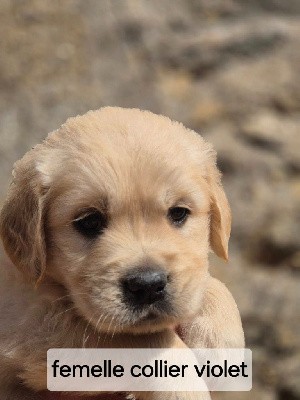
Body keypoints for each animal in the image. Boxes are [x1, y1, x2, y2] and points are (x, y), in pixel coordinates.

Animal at [0, 107, 244, 400]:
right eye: (89, 221)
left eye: (178, 213)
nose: (148, 285)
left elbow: (206, 281)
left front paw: (221, 340)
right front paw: (183, 385)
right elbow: (135, 337)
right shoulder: (30, 320)